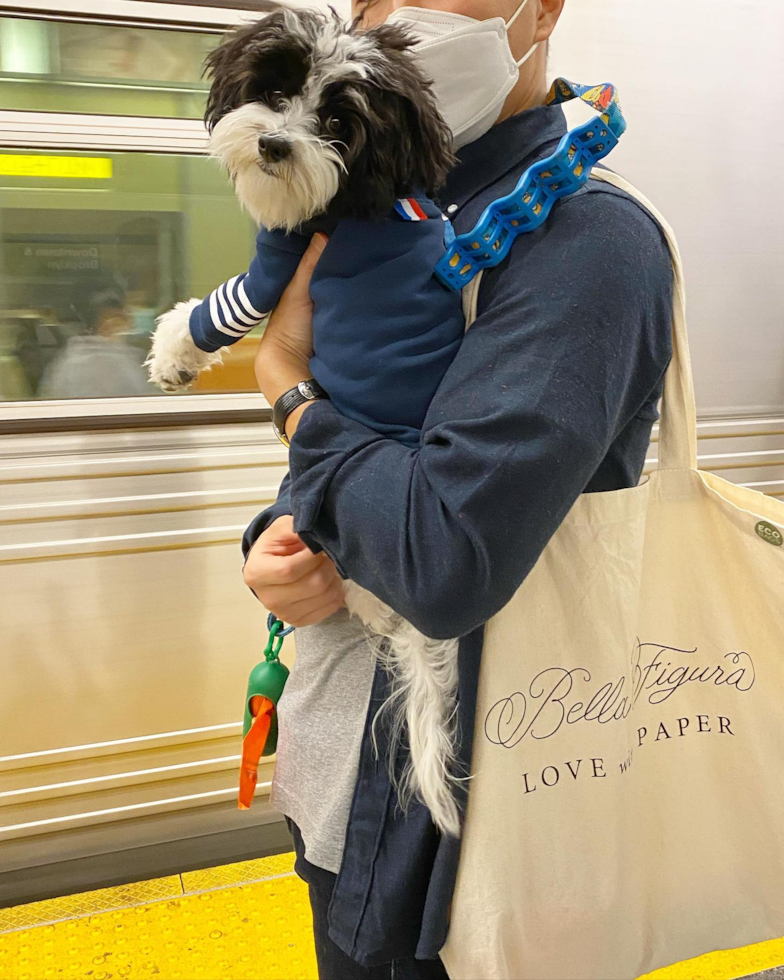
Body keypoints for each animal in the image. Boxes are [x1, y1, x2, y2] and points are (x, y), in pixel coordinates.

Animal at [145, 5, 466, 836]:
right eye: (277, 89)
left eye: (339, 123)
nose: (274, 144)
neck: (365, 196)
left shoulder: (279, 261)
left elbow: (220, 311)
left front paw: (174, 350)